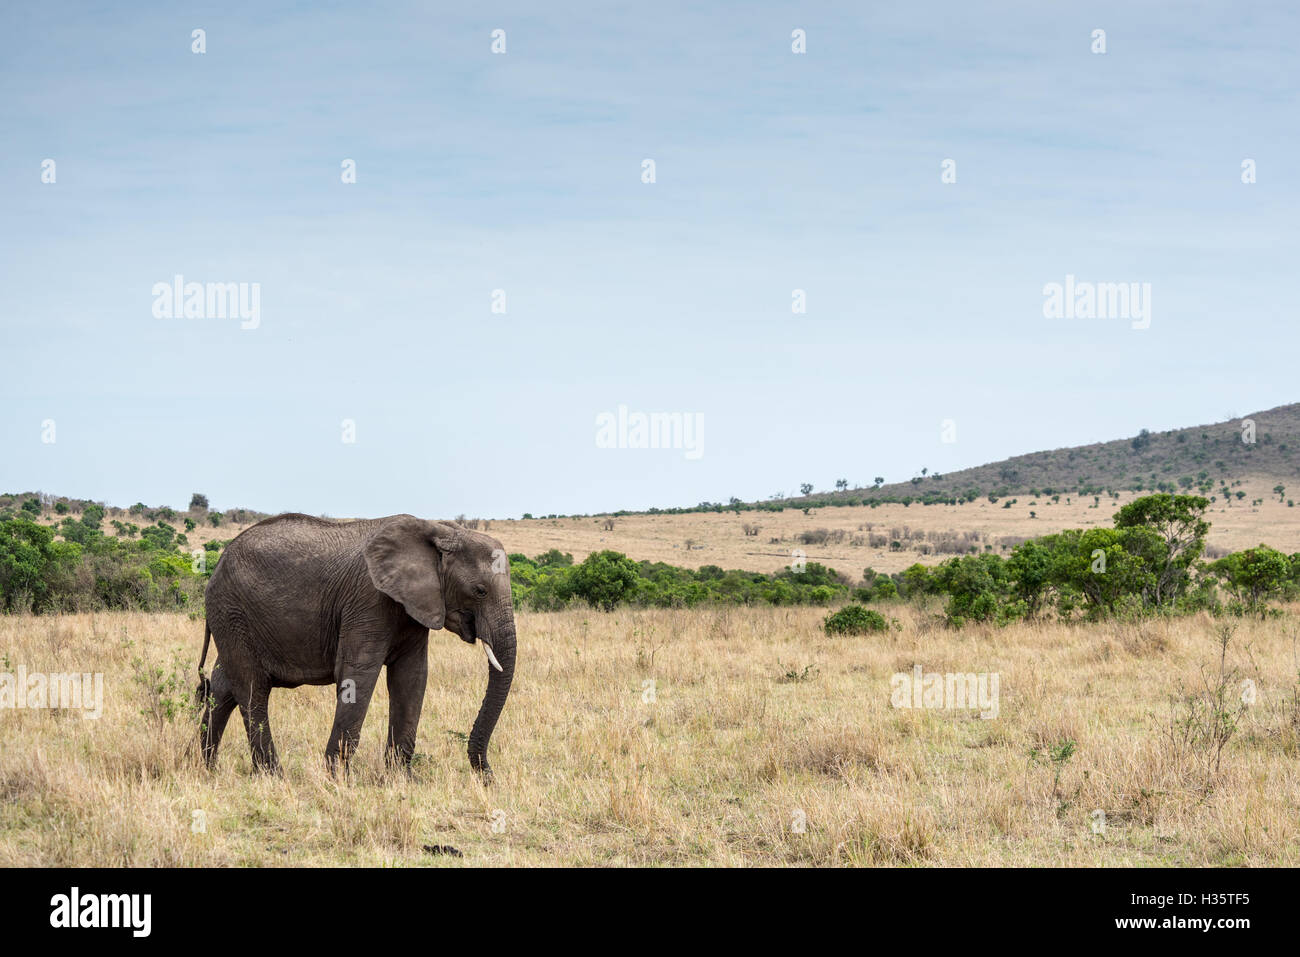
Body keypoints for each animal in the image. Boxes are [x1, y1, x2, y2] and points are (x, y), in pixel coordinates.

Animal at [195, 509, 514, 780]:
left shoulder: (413, 609)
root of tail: (218, 563)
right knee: (252, 690)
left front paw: (402, 780)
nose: (488, 777)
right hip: (232, 611)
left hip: (233, 619)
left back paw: (208, 768)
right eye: (480, 591)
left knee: (223, 687)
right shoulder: (368, 601)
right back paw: (273, 776)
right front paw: (337, 779)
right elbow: (357, 675)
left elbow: (412, 677)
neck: (439, 530)